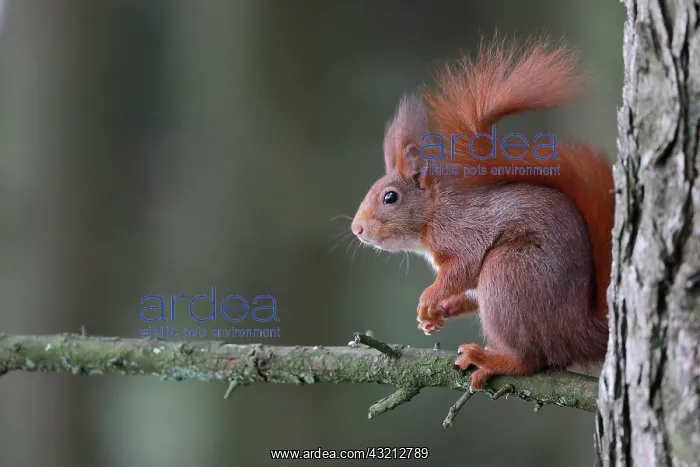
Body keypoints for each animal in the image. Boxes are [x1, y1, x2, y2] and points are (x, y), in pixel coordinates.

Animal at [350, 36, 614, 391]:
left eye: (390, 197)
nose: (357, 229)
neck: (435, 213)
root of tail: (578, 331)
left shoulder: (464, 233)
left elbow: (462, 267)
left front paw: (428, 299)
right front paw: (439, 312)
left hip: (507, 275)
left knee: (532, 361)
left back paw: (490, 359)